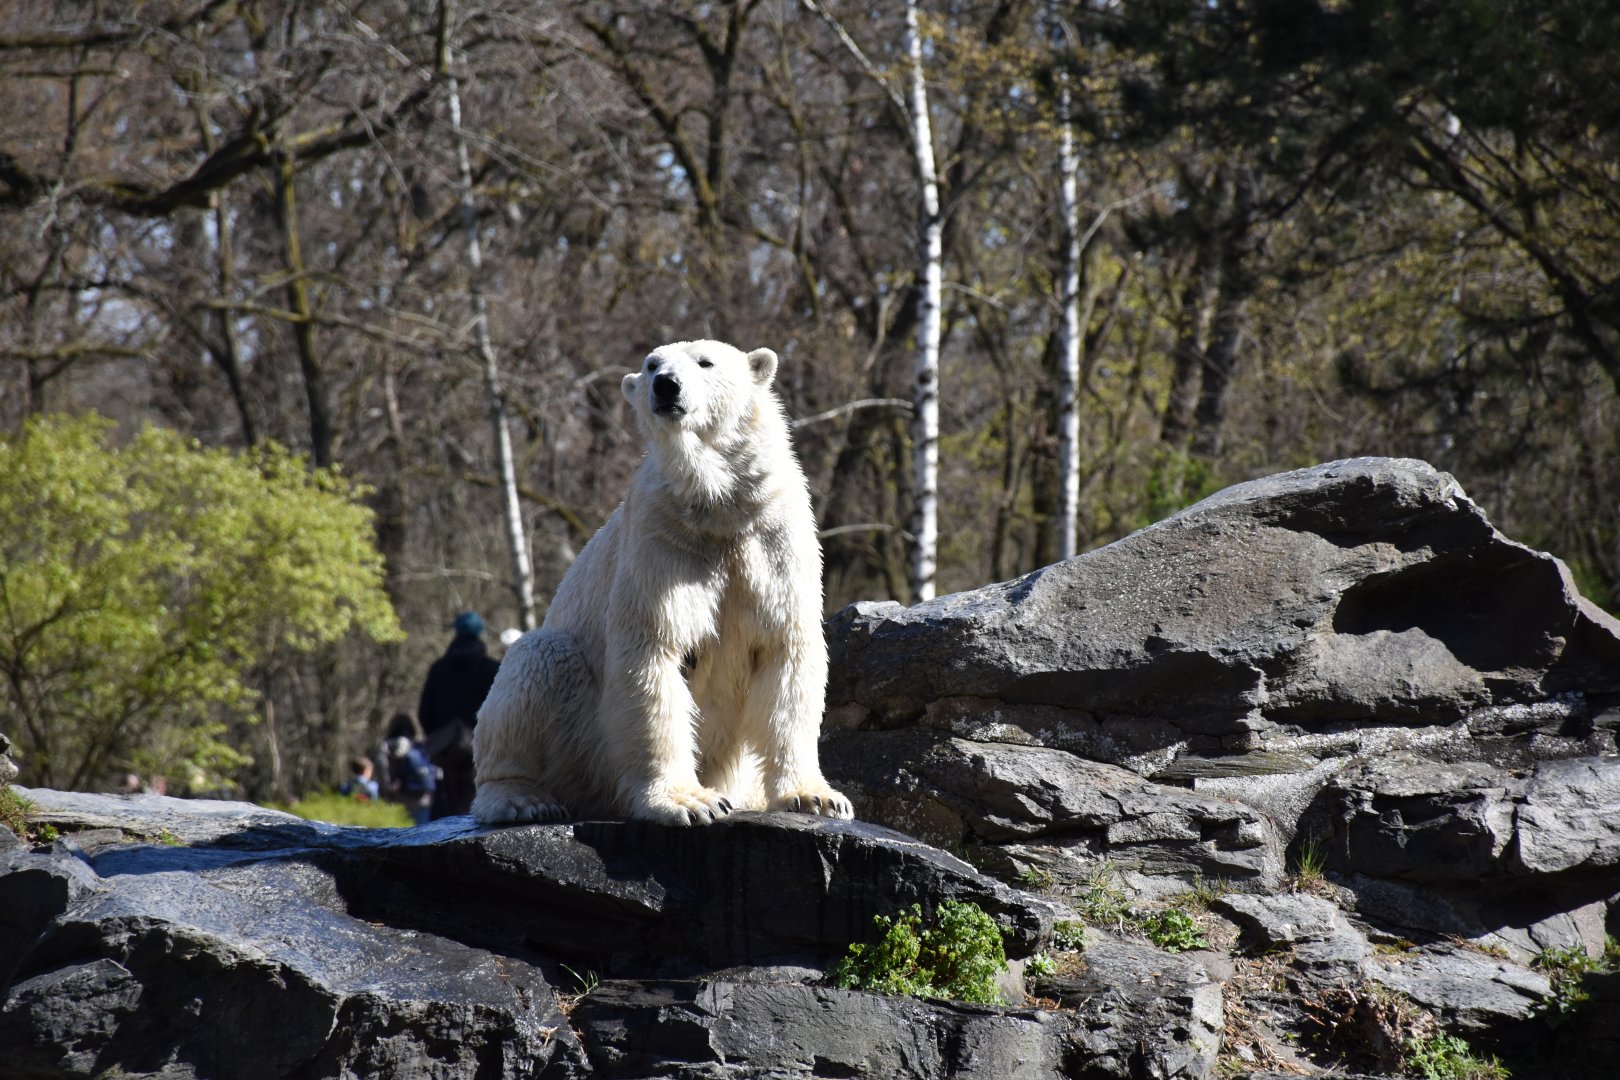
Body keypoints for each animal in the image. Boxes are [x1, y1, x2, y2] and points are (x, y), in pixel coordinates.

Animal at [470, 340, 853, 827]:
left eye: (706, 362)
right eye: (652, 364)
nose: (666, 385)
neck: (720, 508)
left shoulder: (774, 539)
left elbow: (787, 651)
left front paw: (817, 797)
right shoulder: (661, 540)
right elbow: (654, 650)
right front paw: (691, 802)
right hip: (582, 740)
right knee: (538, 661)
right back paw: (521, 798)